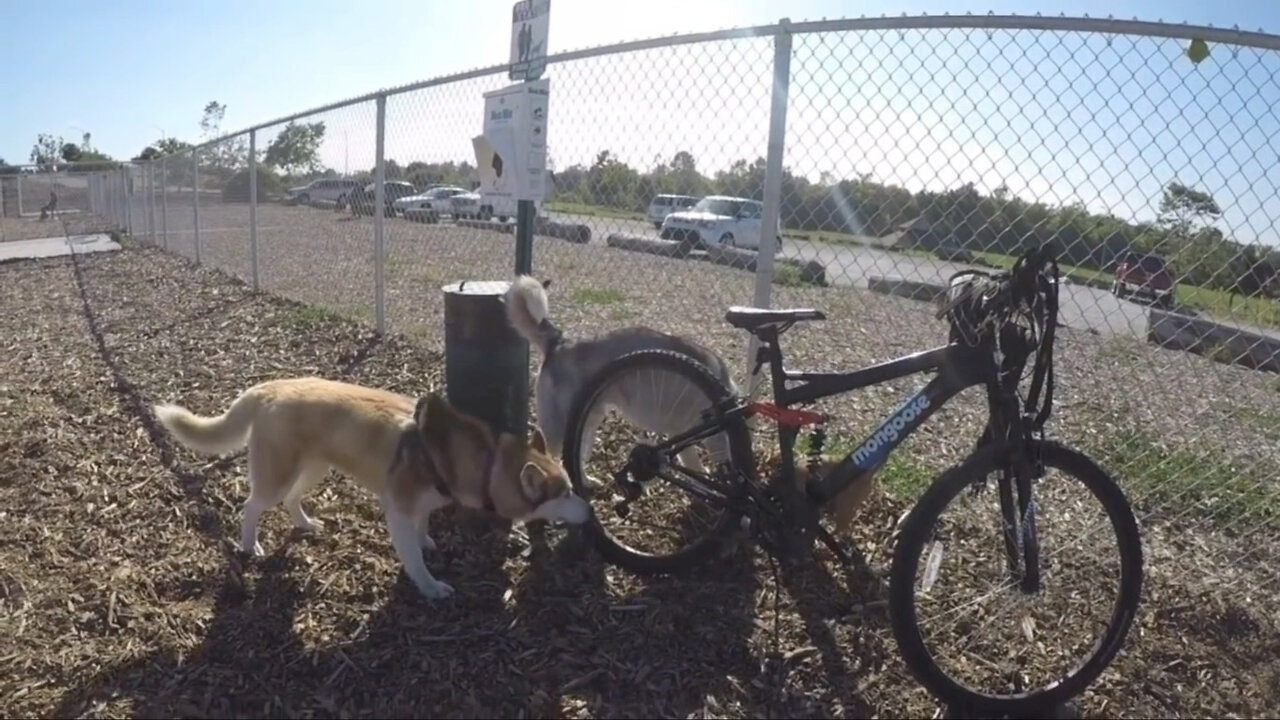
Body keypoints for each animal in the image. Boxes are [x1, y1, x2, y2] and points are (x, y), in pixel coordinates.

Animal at [152, 379, 591, 597]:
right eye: (565, 493)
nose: (590, 510)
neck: (481, 461)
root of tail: (270, 387)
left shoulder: (422, 504)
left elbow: (423, 529)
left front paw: (428, 542)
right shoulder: (396, 508)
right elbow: (413, 558)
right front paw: (430, 586)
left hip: (314, 469)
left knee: (293, 500)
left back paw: (306, 524)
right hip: (277, 477)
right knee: (250, 506)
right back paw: (249, 544)